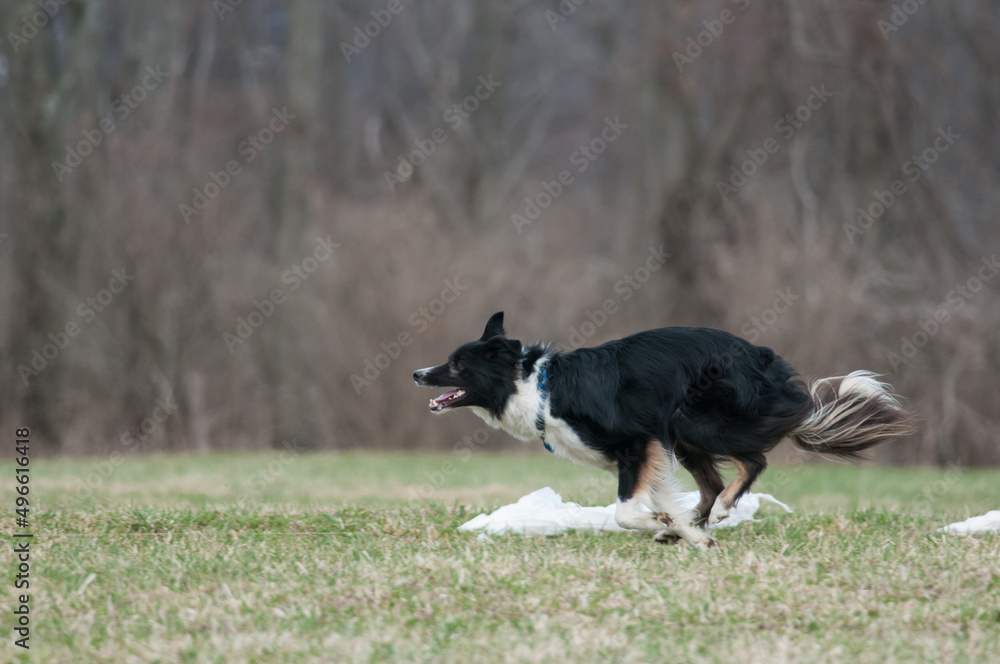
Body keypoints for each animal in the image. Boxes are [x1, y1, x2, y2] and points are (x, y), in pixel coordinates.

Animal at [412, 314, 916, 548]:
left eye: (457, 364)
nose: (417, 373)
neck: (537, 387)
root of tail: (764, 360)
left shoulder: (638, 441)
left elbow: (624, 511)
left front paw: (664, 524)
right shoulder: (649, 453)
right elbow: (663, 499)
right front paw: (685, 532)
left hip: (691, 419)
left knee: (752, 461)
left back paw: (727, 508)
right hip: (686, 436)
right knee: (710, 483)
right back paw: (695, 523)